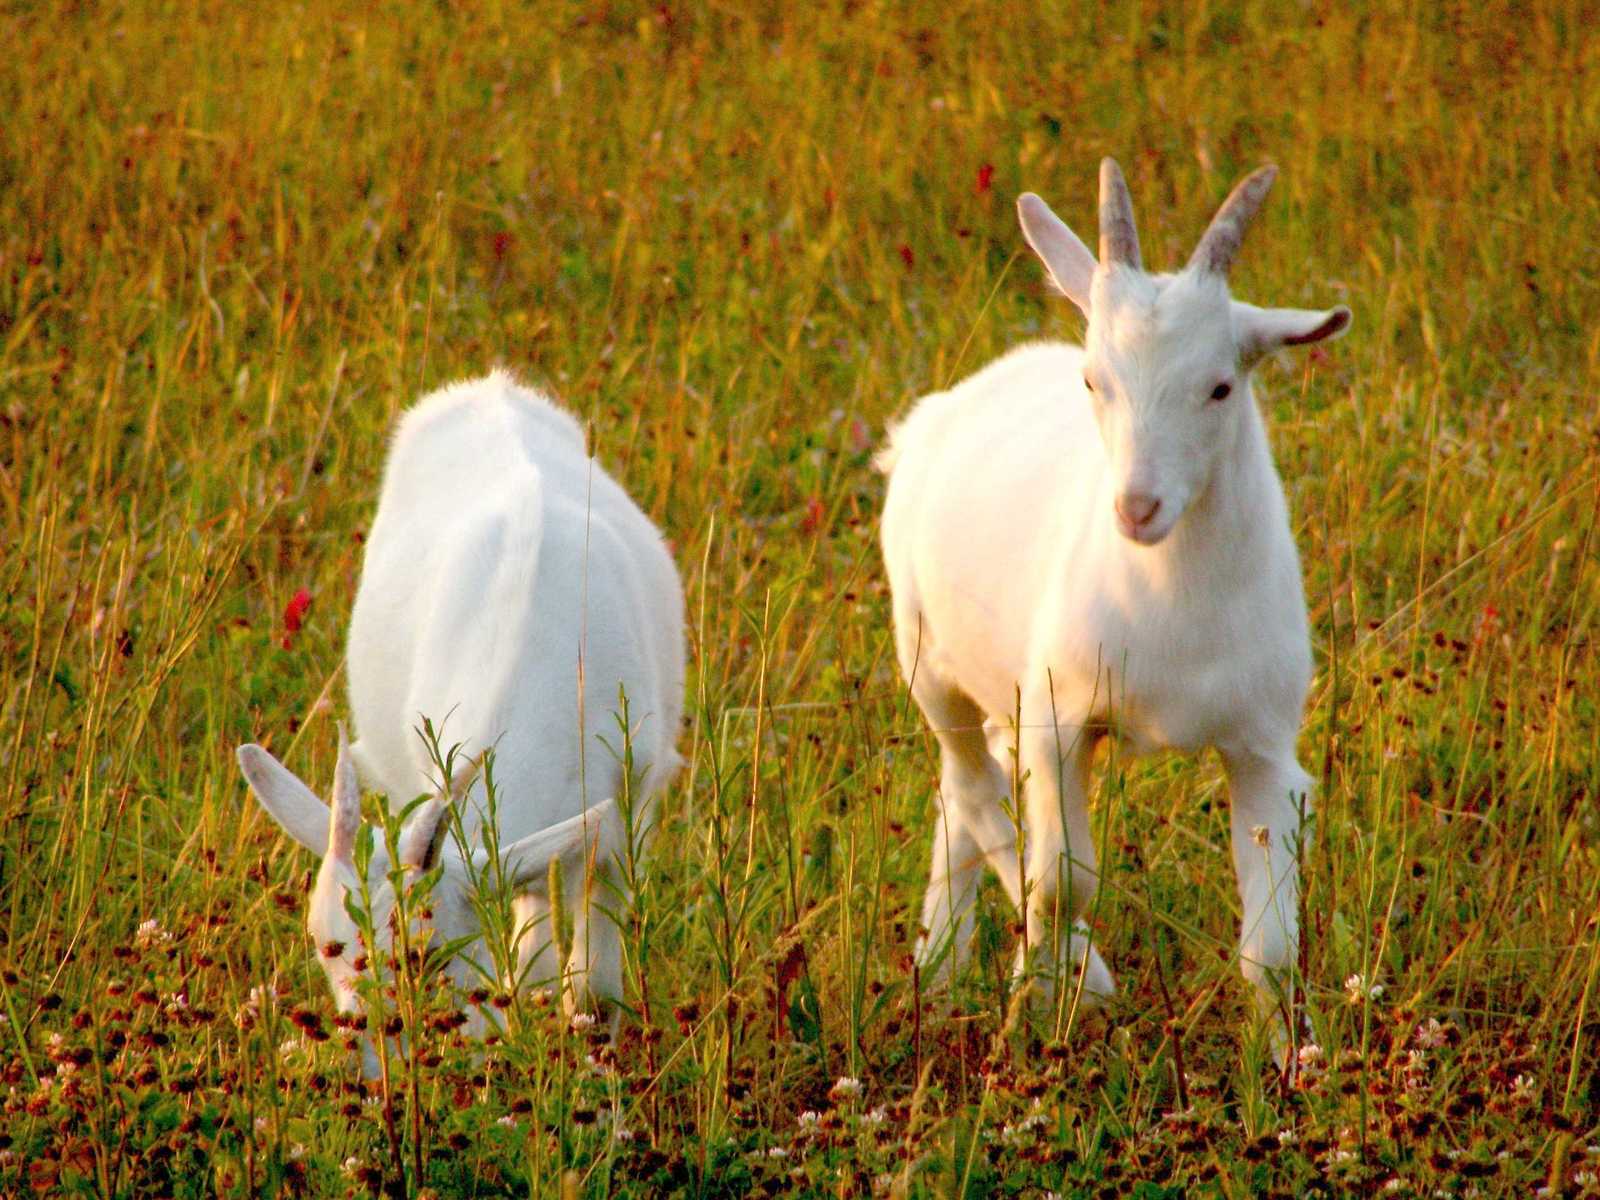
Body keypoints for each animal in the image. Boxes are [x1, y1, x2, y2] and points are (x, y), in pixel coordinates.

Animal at [235, 366, 681, 1062]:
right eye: (324, 949)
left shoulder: (623, 819)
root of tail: (490, 387)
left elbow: (593, 990)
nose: (377, 1068)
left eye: (428, 955)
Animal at [876, 162, 1350, 1049]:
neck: (1175, 608)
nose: (1137, 507)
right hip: (929, 664)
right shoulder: (1061, 719)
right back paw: (1024, 973)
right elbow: (1061, 885)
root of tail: (937, 413)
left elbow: (1271, 947)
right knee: (973, 789)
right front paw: (1034, 1025)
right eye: (1095, 379)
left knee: (968, 792)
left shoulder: (1265, 746)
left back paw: (941, 971)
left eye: (1220, 386)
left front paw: (1291, 1062)